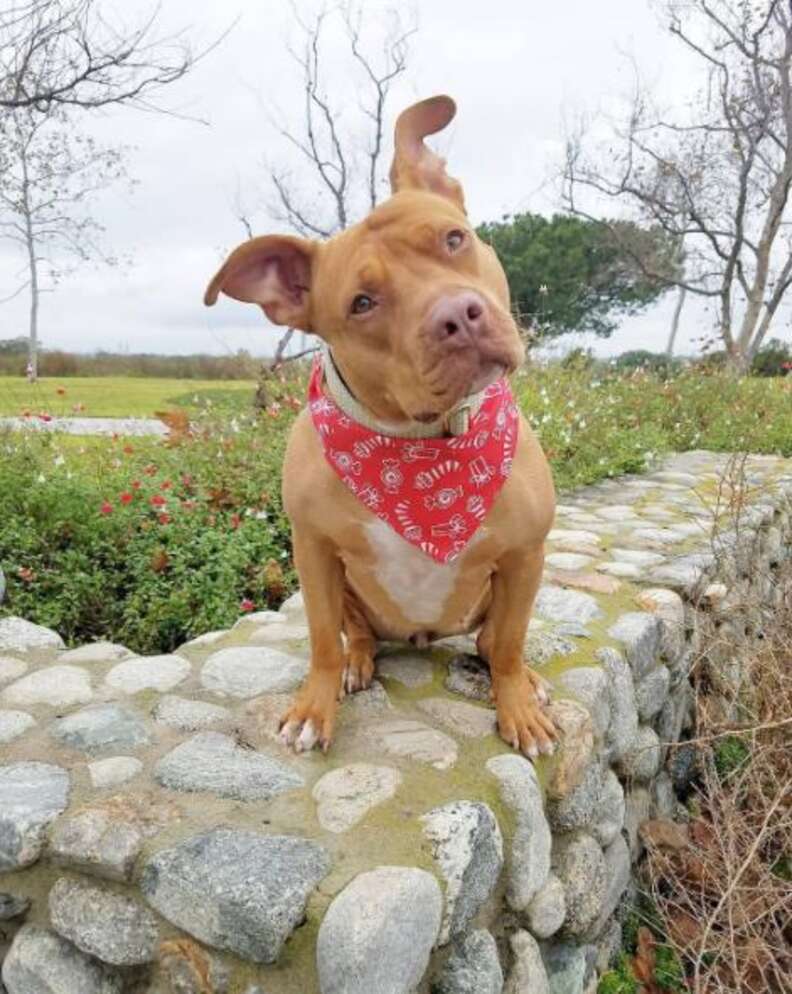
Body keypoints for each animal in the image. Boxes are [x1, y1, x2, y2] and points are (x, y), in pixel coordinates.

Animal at [204, 97, 556, 756]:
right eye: (362, 303)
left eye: (454, 239)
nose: (458, 317)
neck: (420, 446)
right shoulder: (314, 551)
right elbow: (320, 639)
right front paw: (312, 708)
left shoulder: (525, 554)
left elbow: (511, 643)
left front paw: (518, 707)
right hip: (348, 593)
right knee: (358, 637)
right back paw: (356, 663)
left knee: (492, 642)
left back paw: (526, 679)